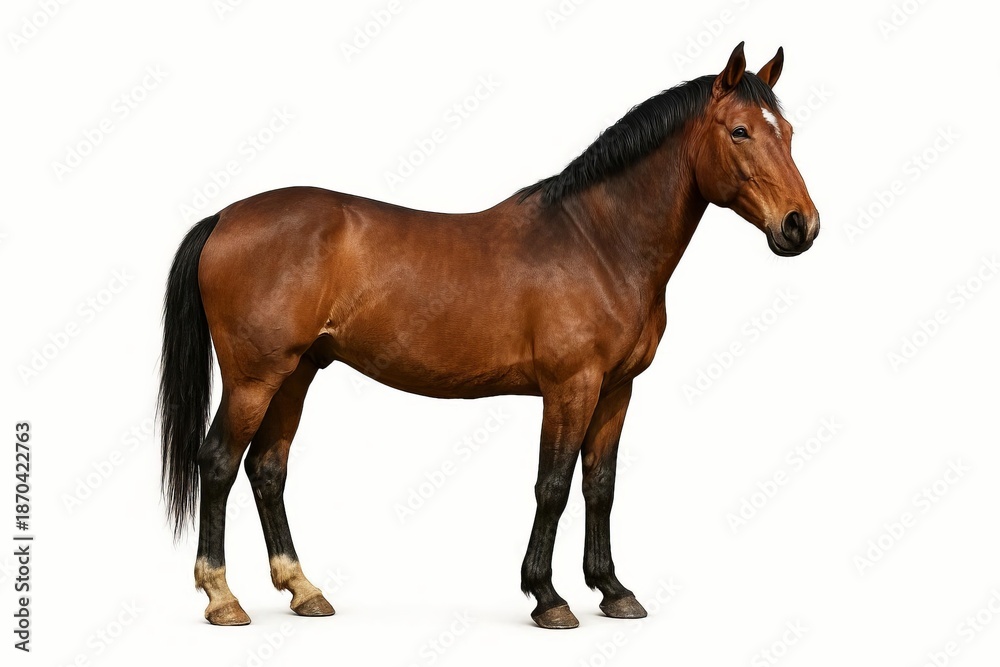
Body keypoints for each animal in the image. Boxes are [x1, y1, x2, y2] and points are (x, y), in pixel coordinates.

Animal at [159, 42, 819, 629]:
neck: (598, 243)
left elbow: (599, 486)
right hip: (255, 377)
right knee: (219, 463)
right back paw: (223, 599)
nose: (800, 225)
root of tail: (225, 217)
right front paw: (547, 598)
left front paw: (613, 591)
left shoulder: (616, 390)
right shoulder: (570, 387)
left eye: (786, 131)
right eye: (739, 131)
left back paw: (304, 590)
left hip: (295, 374)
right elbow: (553, 485)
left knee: (267, 469)